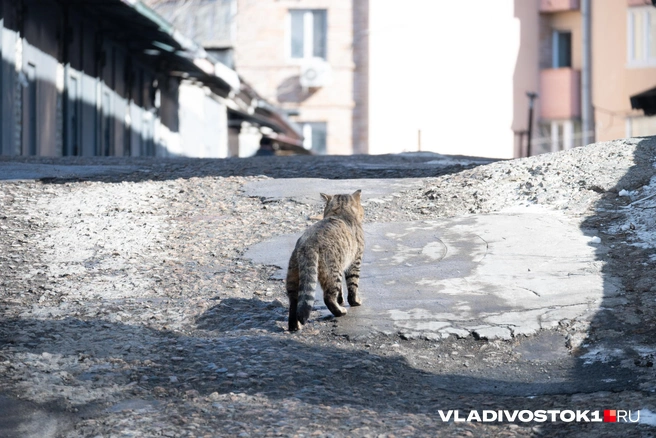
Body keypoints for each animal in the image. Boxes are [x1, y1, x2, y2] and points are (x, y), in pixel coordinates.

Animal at [288, 190, 366, 330]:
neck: (341, 212)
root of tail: (308, 244)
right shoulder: (354, 261)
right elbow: (352, 285)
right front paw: (354, 302)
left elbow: (341, 290)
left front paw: (341, 300)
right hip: (332, 272)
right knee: (328, 297)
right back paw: (340, 312)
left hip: (293, 276)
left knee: (293, 302)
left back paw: (294, 326)